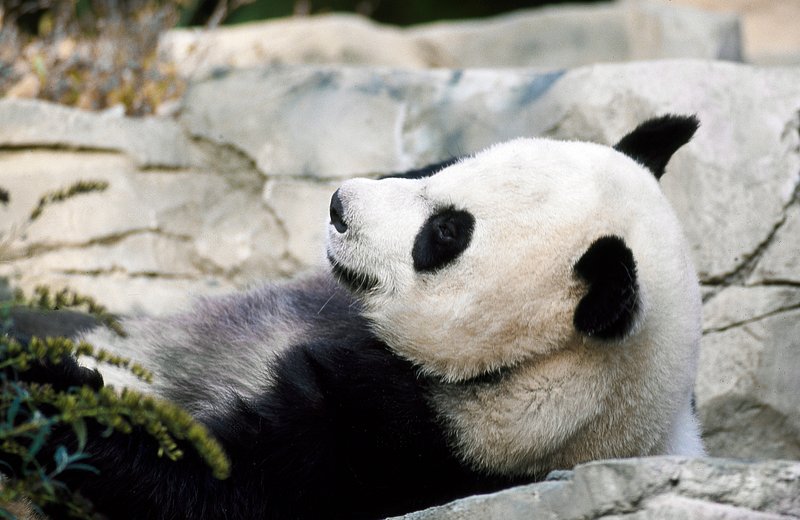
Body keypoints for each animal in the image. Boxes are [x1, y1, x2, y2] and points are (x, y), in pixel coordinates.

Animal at [7, 115, 708, 520]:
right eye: (443, 164)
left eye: (445, 233)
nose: (339, 205)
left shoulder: (419, 451)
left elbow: (226, 486)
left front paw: (51, 393)